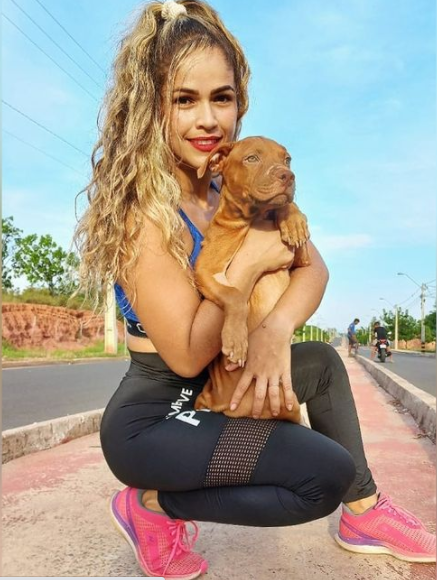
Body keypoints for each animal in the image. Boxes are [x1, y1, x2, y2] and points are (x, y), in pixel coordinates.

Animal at [193, 136, 310, 422]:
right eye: (251, 159)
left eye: (287, 159)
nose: (288, 175)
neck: (253, 218)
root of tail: (228, 408)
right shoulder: (205, 270)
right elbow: (235, 296)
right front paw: (236, 339)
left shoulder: (301, 260)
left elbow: (285, 205)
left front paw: (293, 221)